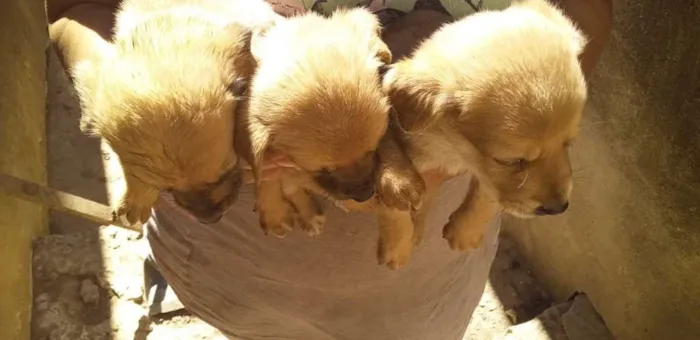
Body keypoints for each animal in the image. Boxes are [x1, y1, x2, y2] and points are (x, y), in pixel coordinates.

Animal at [380, 0, 588, 260]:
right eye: (510, 161)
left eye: (568, 144)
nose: (559, 207)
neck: (453, 149)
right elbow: (394, 202)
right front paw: (397, 245)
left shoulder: (489, 180)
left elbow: (488, 196)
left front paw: (465, 231)